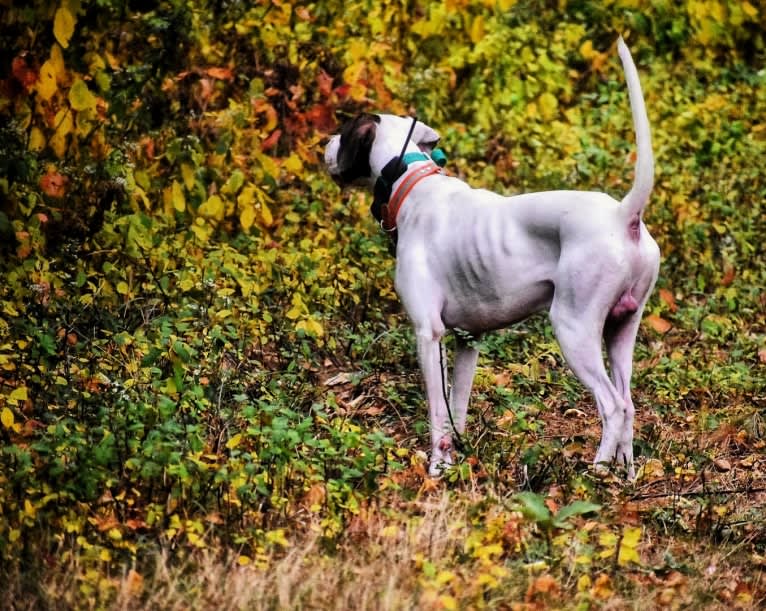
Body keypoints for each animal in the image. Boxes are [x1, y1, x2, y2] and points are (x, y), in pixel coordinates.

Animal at [324, 38, 660, 478]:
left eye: (344, 133)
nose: (324, 145)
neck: (412, 183)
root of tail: (624, 216)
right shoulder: (468, 341)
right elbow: (457, 410)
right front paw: (456, 462)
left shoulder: (428, 335)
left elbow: (437, 414)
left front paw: (436, 469)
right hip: (621, 331)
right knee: (630, 405)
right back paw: (625, 474)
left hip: (574, 329)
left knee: (614, 406)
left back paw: (597, 472)